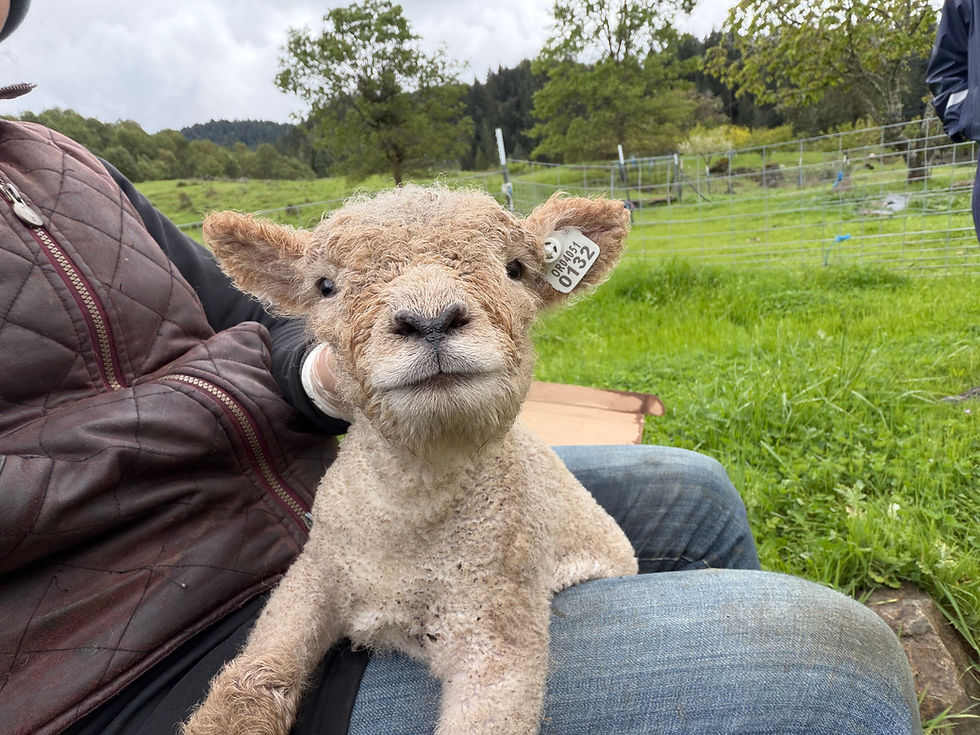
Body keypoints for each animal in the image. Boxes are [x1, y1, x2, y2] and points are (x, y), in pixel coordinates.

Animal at [182, 186, 639, 735]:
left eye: (515, 269)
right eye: (325, 286)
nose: (431, 320)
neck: (405, 520)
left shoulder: (498, 623)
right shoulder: (314, 574)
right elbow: (247, 682)